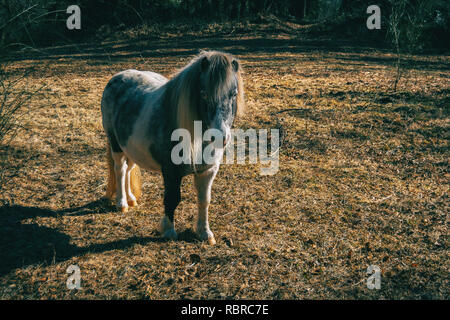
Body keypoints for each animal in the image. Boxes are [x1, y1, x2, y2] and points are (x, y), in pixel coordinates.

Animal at [100, 50, 244, 245]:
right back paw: (122, 203)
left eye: (233, 94)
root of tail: (117, 77)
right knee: (120, 170)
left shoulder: (208, 171)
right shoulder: (170, 172)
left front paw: (205, 233)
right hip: (116, 145)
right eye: (203, 93)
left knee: (128, 170)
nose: (220, 137)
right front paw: (169, 230)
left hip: (130, 147)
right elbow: (172, 198)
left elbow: (204, 200)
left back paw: (131, 199)